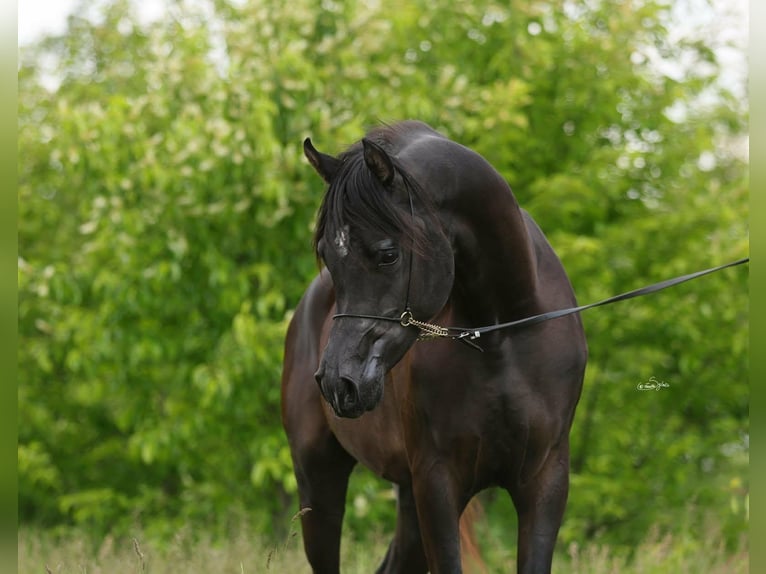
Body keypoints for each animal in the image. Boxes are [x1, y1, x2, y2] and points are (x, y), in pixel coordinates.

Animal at [281, 120, 588, 574]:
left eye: (388, 254)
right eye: (327, 256)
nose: (339, 382)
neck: (501, 335)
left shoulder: (545, 481)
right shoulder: (437, 483)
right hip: (319, 481)